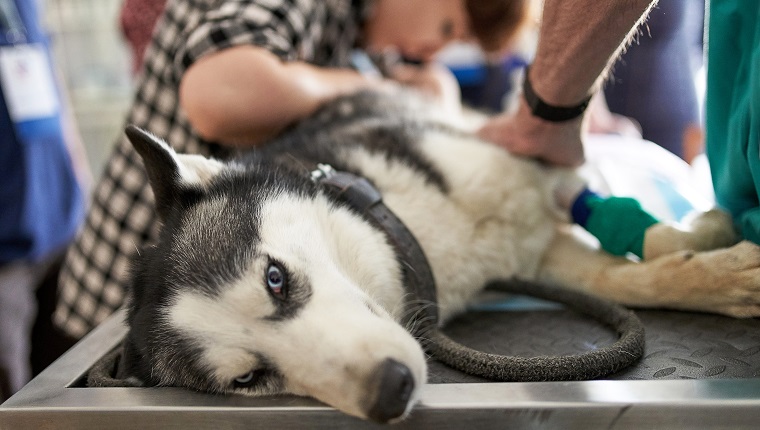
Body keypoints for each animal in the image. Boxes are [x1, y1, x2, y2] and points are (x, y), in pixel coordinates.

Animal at [121, 90, 760, 424]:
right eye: (250, 378)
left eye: (274, 278)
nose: (390, 392)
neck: (412, 235)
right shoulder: (533, 256)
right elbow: (624, 280)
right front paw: (716, 273)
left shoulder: (535, 169)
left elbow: (630, 242)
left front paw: (706, 244)